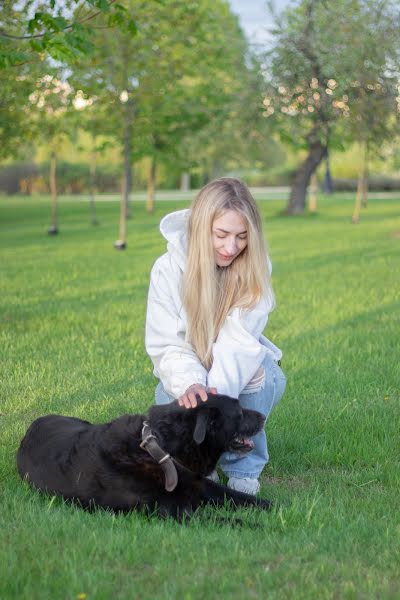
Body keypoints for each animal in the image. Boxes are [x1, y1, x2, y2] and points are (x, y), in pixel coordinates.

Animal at [16, 394, 272, 520]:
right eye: (239, 413)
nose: (263, 417)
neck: (163, 450)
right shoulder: (174, 513)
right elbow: (229, 521)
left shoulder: (204, 487)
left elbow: (246, 499)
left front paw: (278, 509)